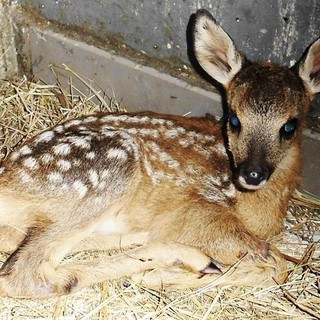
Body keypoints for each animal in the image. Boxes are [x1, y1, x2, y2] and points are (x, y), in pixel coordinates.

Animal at [0, 10, 320, 298]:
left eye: (290, 126)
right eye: (234, 119)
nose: (252, 173)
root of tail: (7, 175)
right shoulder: (205, 213)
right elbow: (275, 263)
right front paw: (162, 277)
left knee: (14, 239)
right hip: (110, 168)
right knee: (26, 275)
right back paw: (177, 264)